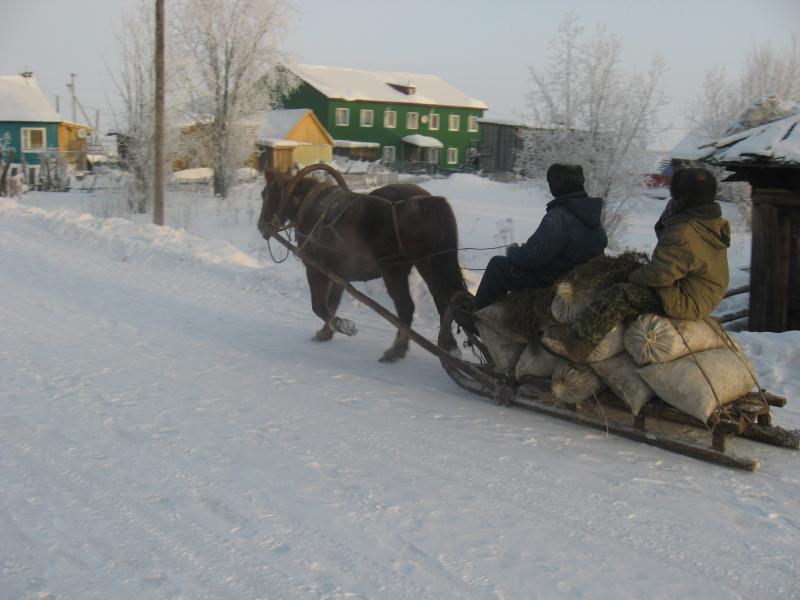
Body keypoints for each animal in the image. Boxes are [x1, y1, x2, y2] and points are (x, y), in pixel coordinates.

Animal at [260, 162, 466, 364]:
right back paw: (448, 347)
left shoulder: (315, 270)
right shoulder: (338, 274)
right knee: (443, 301)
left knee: (406, 307)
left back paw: (396, 350)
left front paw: (341, 325)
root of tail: (424, 202)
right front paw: (327, 332)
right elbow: (332, 304)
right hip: (427, 264)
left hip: (393, 269)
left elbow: (318, 306)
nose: (261, 225)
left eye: (264, 194)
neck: (310, 208)